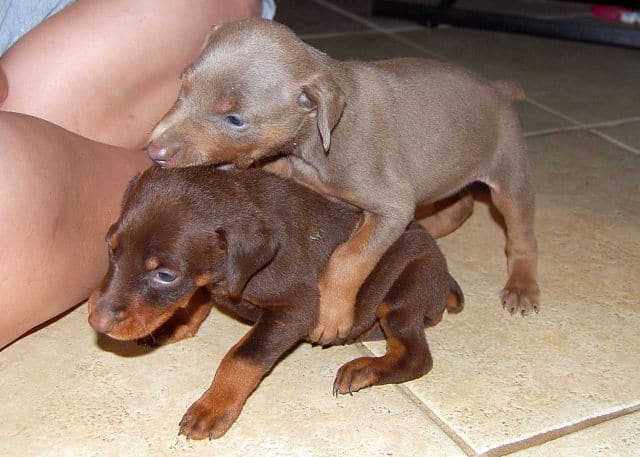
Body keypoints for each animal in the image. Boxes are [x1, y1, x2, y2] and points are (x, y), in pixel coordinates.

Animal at [87, 166, 462, 440]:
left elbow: (241, 357)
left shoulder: (296, 309)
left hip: (405, 289)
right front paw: (173, 325)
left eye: (166, 275)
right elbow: (199, 296)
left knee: (416, 356)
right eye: (110, 246)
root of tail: (444, 275)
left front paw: (213, 406)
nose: (97, 321)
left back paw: (365, 368)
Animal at [146, 18, 540, 346]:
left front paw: (331, 314)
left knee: (520, 235)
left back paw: (522, 286)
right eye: (183, 85)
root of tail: (498, 90)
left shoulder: (391, 204)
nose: (154, 150)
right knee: (461, 204)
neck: (315, 140)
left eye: (235, 119)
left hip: (509, 174)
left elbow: (350, 255)